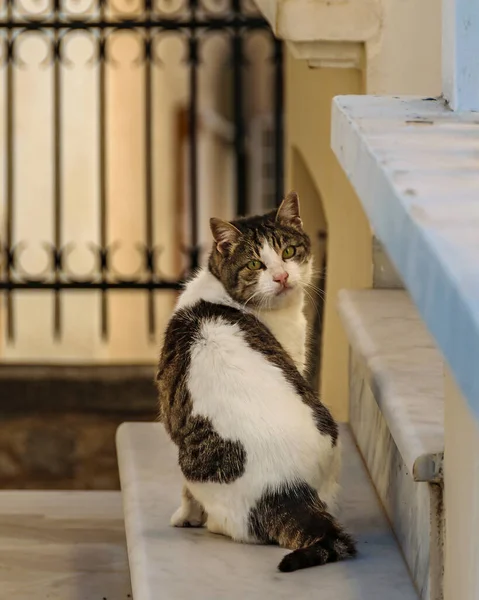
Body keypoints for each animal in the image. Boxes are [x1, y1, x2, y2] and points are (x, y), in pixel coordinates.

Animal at [158, 192, 356, 572]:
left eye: (288, 252)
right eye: (254, 264)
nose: (281, 277)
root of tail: (286, 488)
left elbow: (185, 496)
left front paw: (184, 517)